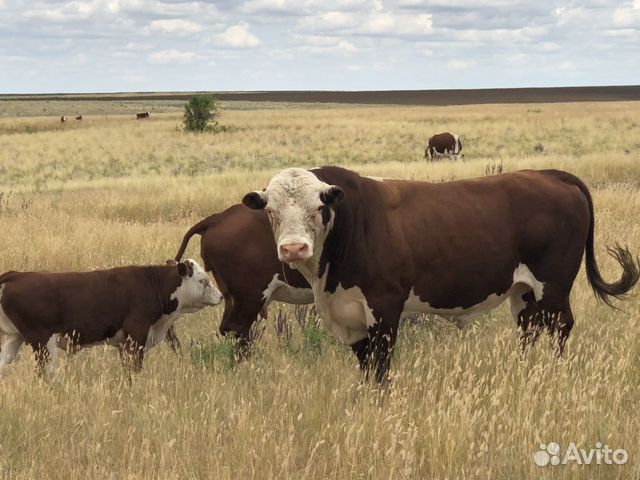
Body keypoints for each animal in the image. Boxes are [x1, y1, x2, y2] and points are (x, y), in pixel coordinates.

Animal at [0, 260, 222, 376]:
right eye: (203, 280)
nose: (220, 296)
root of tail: (17, 275)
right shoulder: (136, 337)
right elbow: (135, 370)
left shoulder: (124, 344)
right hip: (43, 344)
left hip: (14, 338)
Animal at [242, 167, 636, 384]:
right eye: (271, 212)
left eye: (317, 208)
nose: (293, 248)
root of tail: (550, 174)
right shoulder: (350, 315)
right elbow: (366, 366)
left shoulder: (384, 309)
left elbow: (381, 367)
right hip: (524, 291)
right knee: (530, 329)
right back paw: (528, 372)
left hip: (553, 286)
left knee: (560, 327)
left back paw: (552, 372)